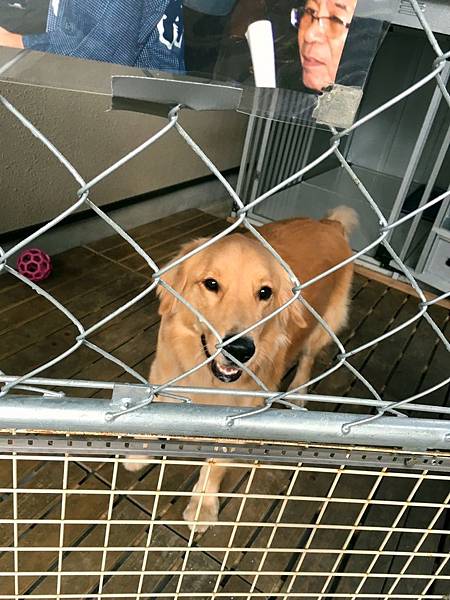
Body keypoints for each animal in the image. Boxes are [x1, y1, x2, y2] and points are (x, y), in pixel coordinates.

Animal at [125, 205, 356, 528]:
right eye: (211, 284)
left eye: (265, 292)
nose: (240, 350)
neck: (207, 380)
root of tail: (328, 224)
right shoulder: (163, 373)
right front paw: (137, 456)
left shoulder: (238, 417)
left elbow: (215, 465)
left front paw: (203, 506)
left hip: (323, 324)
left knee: (308, 358)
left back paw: (298, 392)